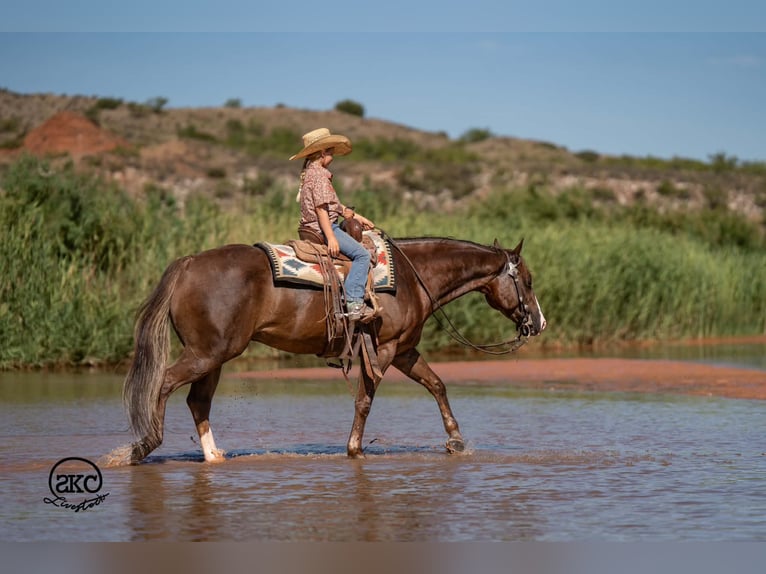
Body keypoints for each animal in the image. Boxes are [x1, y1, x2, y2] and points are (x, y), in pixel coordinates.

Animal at [114, 235, 546, 464]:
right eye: (526, 280)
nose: (538, 323)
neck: (412, 278)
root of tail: (188, 264)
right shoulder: (384, 350)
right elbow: (365, 400)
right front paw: (354, 449)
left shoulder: (404, 350)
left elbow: (437, 384)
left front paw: (455, 441)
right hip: (207, 354)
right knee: (163, 383)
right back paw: (142, 446)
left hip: (214, 356)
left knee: (197, 401)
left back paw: (213, 456)